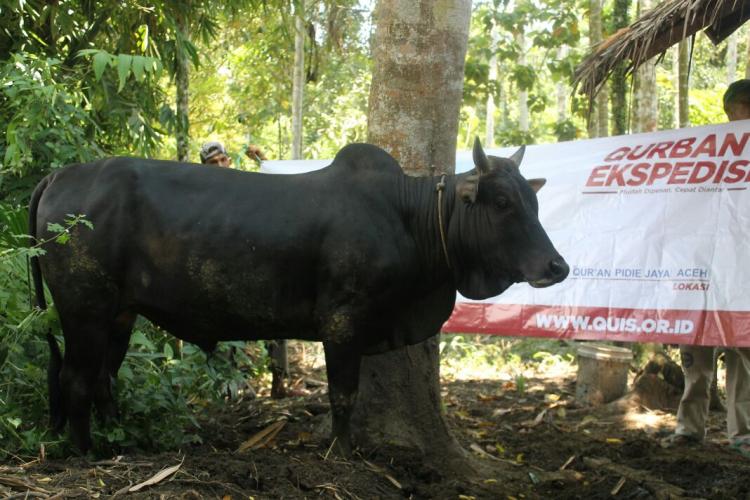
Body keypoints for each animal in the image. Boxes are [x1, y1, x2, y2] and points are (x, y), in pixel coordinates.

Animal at [29, 140, 568, 454]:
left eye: (535, 200)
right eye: (503, 202)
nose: (557, 267)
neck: (408, 217)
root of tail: (61, 174)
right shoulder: (344, 321)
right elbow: (343, 395)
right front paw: (343, 456)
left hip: (119, 315)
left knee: (104, 378)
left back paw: (119, 442)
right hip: (84, 309)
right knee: (76, 379)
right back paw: (87, 454)